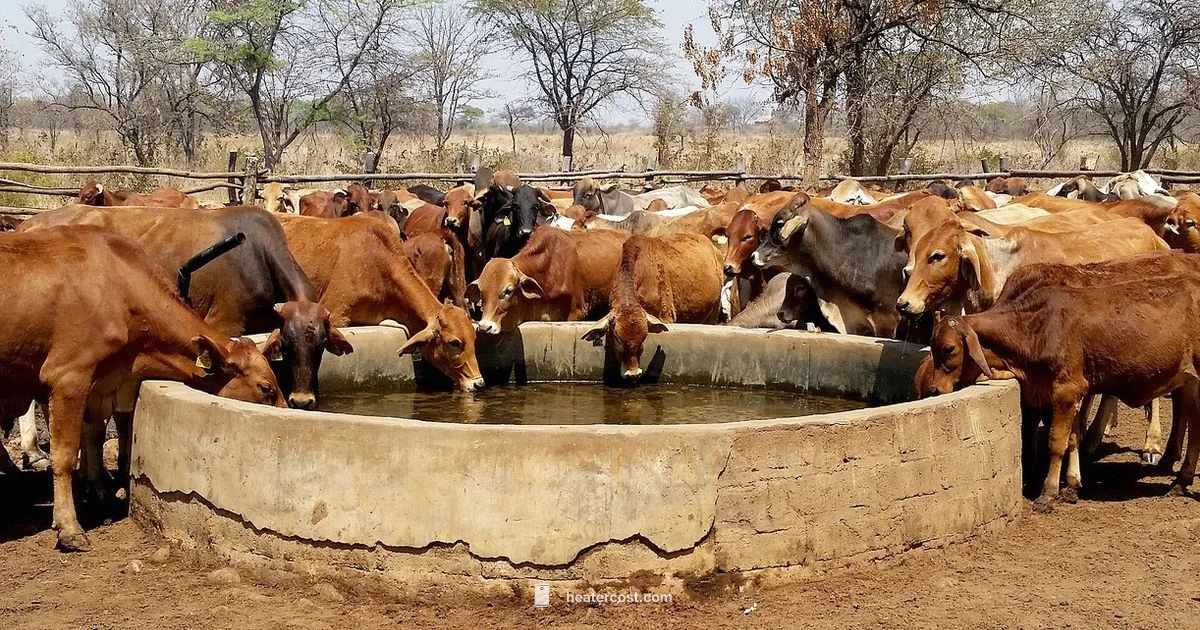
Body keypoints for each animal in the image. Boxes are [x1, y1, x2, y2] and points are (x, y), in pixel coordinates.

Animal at [0, 225, 284, 551]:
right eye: (266, 388)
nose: (288, 410)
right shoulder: (68, 376)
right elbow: (65, 455)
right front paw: (70, 528)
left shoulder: (103, 386)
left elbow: (96, 437)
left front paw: (100, 491)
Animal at [20, 204, 347, 411]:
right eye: (288, 345)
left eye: (320, 345)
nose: (302, 401)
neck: (258, 256)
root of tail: (28, 223)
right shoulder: (224, 322)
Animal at [921, 252, 1200, 508]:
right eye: (932, 347)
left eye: (949, 349)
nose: (934, 389)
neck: (1036, 326)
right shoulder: (1065, 393)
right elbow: (1072, 439)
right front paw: (1072, 485)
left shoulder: (1065, 391)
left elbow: (1056, 442)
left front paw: (1049, 492)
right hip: (1189, 382)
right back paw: (1179, 479)